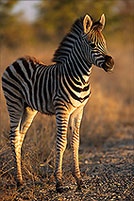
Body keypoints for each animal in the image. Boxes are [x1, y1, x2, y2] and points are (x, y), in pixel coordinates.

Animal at [1, 13, 113, 192]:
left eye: (105, 44)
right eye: (92, 45)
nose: (111, 63)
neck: (81, 77)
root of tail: (17, 60)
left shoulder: (79, 110)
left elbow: (75, 142)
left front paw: (79, 180)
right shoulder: (62, 109)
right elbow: (62, 142)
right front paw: (59, 182)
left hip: (29, 109)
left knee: (19, 137)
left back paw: (21, 179)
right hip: (14, 103)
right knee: (13, 137)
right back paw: (19, 182)